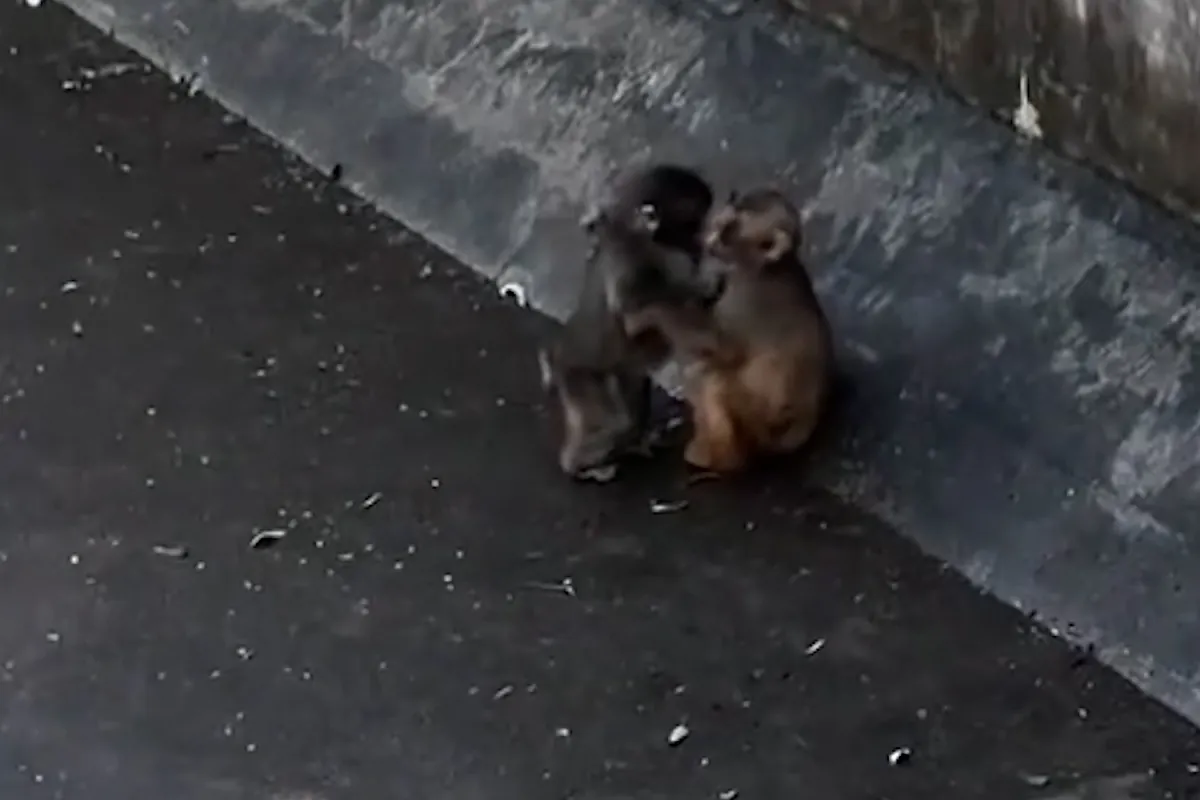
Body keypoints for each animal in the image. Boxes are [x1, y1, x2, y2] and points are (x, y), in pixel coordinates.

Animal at [537, 163, 723, 482]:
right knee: (614, 423)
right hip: (581, 378)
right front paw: (701, 289)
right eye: (693, 222)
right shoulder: (631, 258)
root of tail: (560, 356)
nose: (701, 241)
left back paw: (633, 444)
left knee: (630, 406)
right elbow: (633, 309)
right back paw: (580, 465)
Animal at [620, 187, 834, 476]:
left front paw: (649, 312)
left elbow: (723, 349)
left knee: (711, 376)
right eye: (722, 220)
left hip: (755, 422)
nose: (709, 239)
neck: (773, 266)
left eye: (729, 230)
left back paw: (718, 460)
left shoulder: (747, 295)